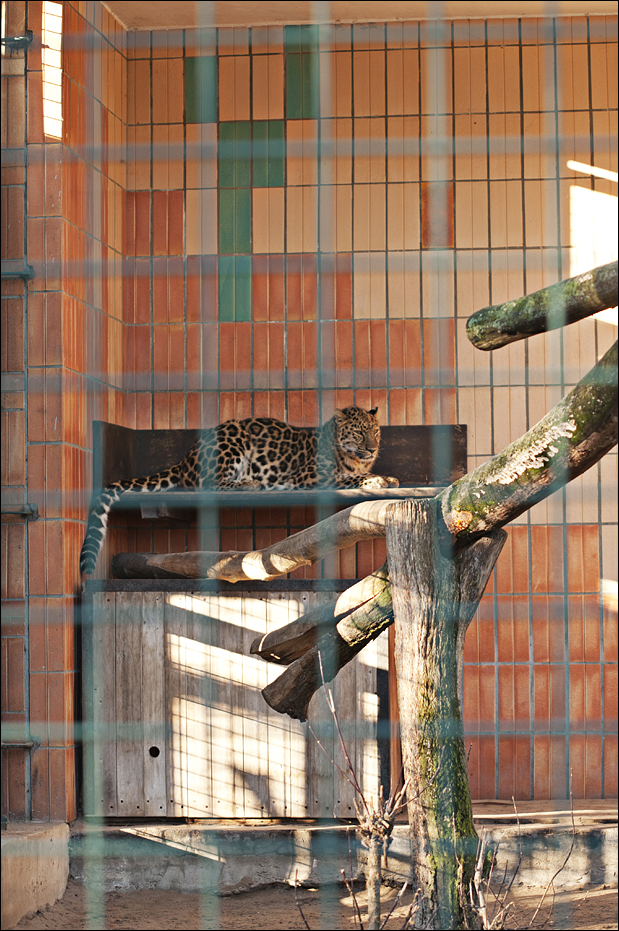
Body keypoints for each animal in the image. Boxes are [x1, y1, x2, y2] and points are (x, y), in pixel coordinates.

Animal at [79, 406, 399, 575]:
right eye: (358, 432)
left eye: (375, 430)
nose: (373, 448)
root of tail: (185, 458)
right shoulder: (309, 477)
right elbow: (348, 479)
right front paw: (377, 480)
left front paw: (386, 477)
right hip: (232, 438)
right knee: (207, 484)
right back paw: (250, 482)